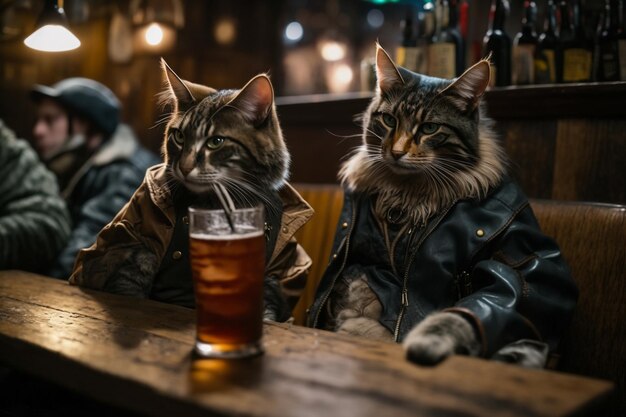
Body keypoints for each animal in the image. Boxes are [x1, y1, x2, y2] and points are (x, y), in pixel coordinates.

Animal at [308, 44, 576, 366]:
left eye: (429, 128)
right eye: (389, 121)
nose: (396, 152)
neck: (406, 194)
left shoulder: (528, 263)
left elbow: (465, 313)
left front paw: (426, 342)